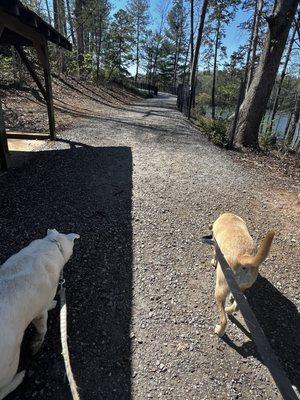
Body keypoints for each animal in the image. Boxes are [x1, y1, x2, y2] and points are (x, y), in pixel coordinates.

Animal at [0, 228, 79, 400]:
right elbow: (43, 328)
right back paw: (19, 378)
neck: (52, 244)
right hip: (10, 362)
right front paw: (36, 344)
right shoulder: (40, 311)